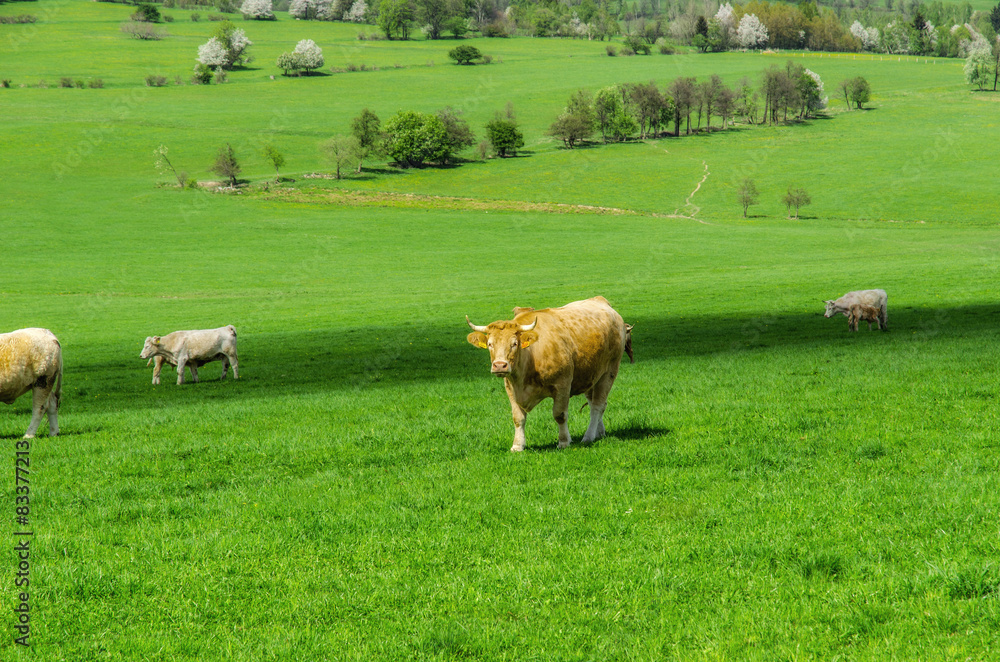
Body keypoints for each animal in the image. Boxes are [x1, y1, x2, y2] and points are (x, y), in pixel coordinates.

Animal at [466, 296, 632, 452]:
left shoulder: (563, 385)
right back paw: (599, 432)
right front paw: (517, 445)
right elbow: (518, 418)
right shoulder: (511, 389)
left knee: (598, 405)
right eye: (490, 344)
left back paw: (588, 436)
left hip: (608, 372)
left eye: (514, 343)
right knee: (594, 402)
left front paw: (564, 442)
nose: (500, 365)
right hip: (591, 375)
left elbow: (560, 414)